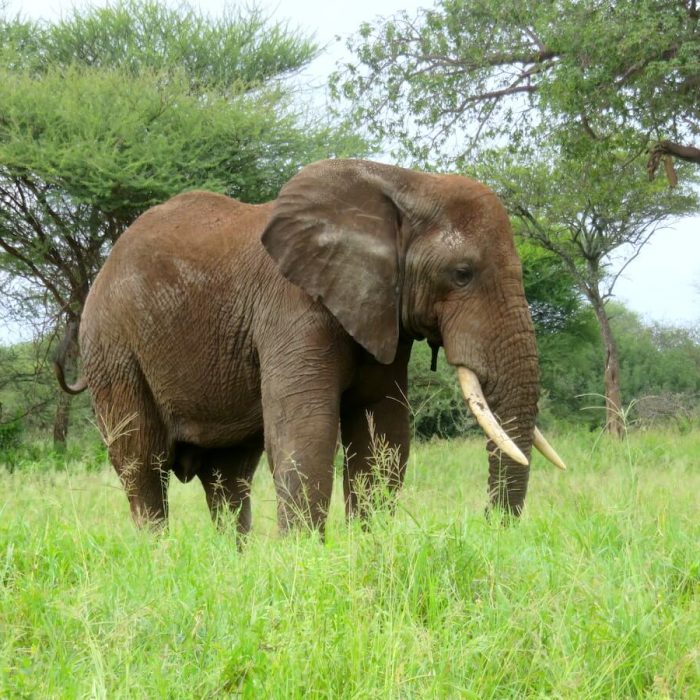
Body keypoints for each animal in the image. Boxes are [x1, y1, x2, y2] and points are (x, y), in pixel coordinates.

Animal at [54, 159, 564, 536]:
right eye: (461, 274)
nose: (491, 529)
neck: (405, 183)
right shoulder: (294, 309)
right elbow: (308, 432)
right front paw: (303, 557)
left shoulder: (382, 313)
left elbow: (383, 432)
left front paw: (369, 545)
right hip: (113, 348)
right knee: (142, 463)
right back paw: (158, 555)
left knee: (228, 476)